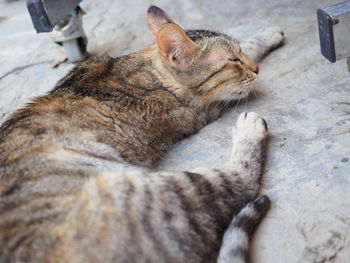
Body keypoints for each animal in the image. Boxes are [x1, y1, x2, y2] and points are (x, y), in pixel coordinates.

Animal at [0, 4, 284, 263]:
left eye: (240, 53)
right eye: (233, 61)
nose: (256, 69)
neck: (148, 70)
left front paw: (268, 33)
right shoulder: (204, 109)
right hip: (150, 193)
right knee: (240, 183)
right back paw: (249, 129)